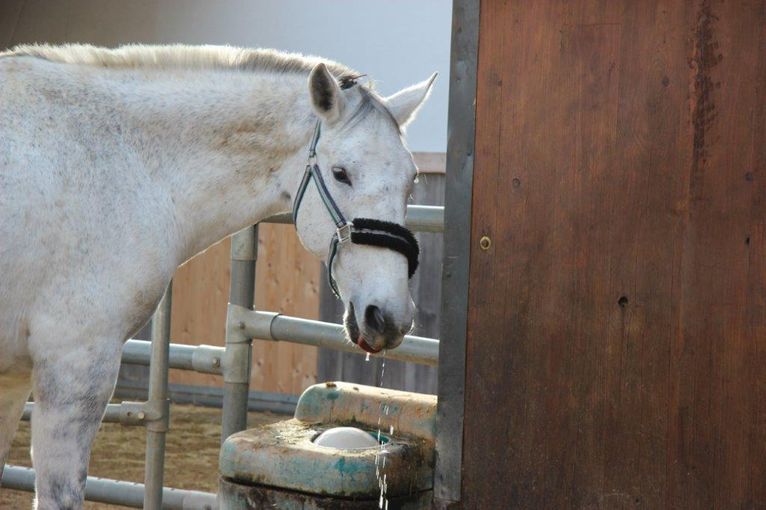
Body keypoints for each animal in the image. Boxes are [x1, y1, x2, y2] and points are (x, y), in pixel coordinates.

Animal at [0, 44, 436, 510]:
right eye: (341, 173)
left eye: (412, 180)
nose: (387, 316)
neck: (121, 162)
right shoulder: (75, 365)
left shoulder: (15, 376)